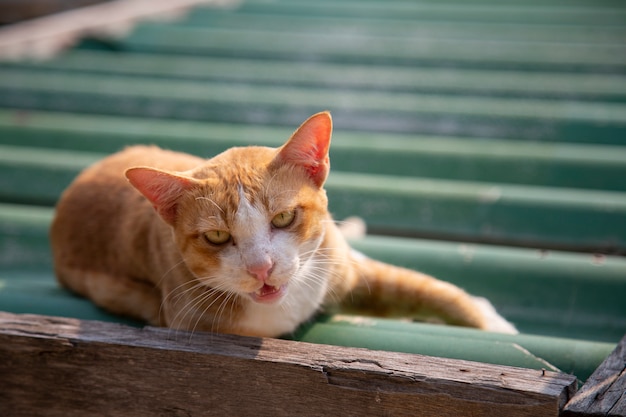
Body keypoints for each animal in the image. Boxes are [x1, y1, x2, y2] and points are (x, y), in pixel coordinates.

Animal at [51, 111, 516, 338]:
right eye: (217, 236)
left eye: (284, 217)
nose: (262, 268)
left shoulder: (344, 266)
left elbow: (425, 289)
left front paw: (489, 322)